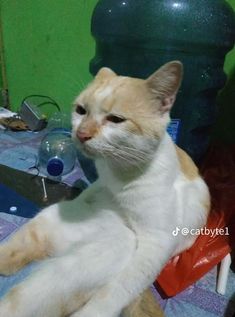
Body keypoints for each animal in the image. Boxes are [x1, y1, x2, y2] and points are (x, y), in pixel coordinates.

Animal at [0, 61, 209, 316]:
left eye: (116, 119)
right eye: (81, 110)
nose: (81, 134)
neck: (119, 172)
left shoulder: (156, 243)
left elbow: (116, 292)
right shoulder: (97, 186)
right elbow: (91, 191)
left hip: (104, 253)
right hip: (50, 221)